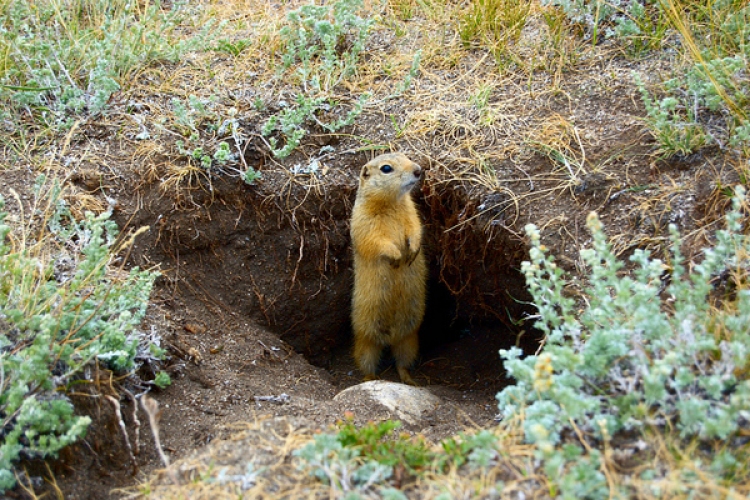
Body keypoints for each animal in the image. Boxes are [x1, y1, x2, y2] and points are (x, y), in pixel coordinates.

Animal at [350, 151, 426, 382]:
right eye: (386, 168)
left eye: (406, 155)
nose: (419, 170)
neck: (392, 203)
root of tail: (389, 338)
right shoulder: (363, 221)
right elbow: (376, 241)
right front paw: (397, 256)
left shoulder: (411, 213)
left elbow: (415, 229)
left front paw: (412, 251)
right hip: (365, 343)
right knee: (366, 363)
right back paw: (370, 379)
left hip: (409, 340)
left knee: (402, 363)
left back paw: (410, 380)